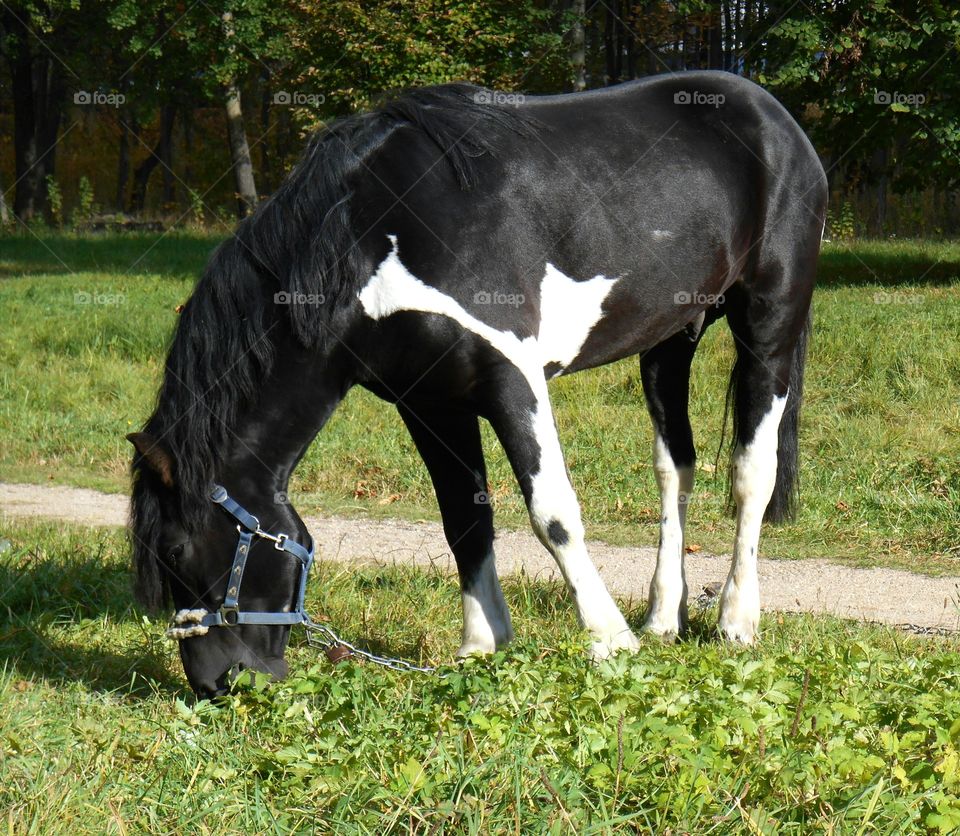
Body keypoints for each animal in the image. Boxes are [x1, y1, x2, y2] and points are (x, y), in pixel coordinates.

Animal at [128, 70, 827, 698]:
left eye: (179, 552)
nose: (215, 682)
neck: (370, 235)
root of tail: (775, 118)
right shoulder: (431, 403)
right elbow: (463, 518)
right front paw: (482, 645)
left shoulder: (513, 379)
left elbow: (553, 513)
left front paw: (609, 640)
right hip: (669, 338)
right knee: (674, 467)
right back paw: (662, 618)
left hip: (769, 323)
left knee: (752, 471)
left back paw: (735, 620)